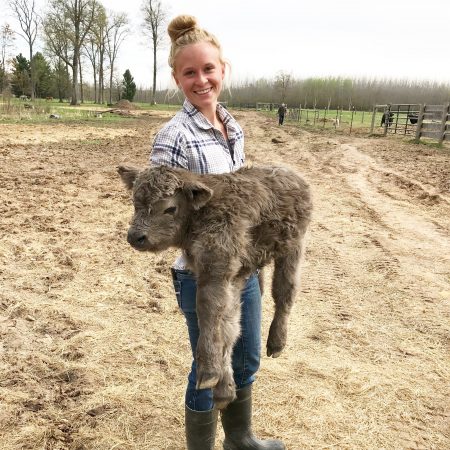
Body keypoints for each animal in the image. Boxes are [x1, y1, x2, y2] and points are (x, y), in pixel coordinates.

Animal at [118, 164, 312, 408]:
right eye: (135, 202)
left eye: (170, 208)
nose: (136, 237)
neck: (201, 214)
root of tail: (290, 173)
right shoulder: (227, 276)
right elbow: (228, 325)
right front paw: (223, 389)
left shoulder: (216, 268)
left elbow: (209, 310)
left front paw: (209, 373)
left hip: (294, 246)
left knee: (285, 291)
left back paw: (276, 343)